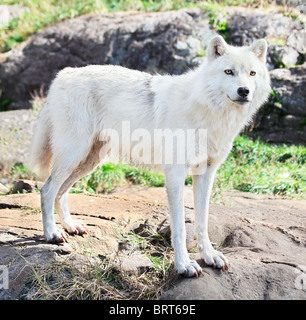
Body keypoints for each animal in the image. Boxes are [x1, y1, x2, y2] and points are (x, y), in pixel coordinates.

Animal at [29, 34, 270, 276]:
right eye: (228, 71)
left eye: (252, 73)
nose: (244, 91)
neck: (211, 114)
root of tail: (64, 73)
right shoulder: (175, 174)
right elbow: (180, 227)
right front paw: (184, 265)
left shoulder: (206, 173)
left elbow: (202, 221)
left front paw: (209, 255)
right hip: (73, 154)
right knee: (47, 190)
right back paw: (52, 234)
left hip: (89, 161)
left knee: (61, 192)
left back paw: (70, 226)